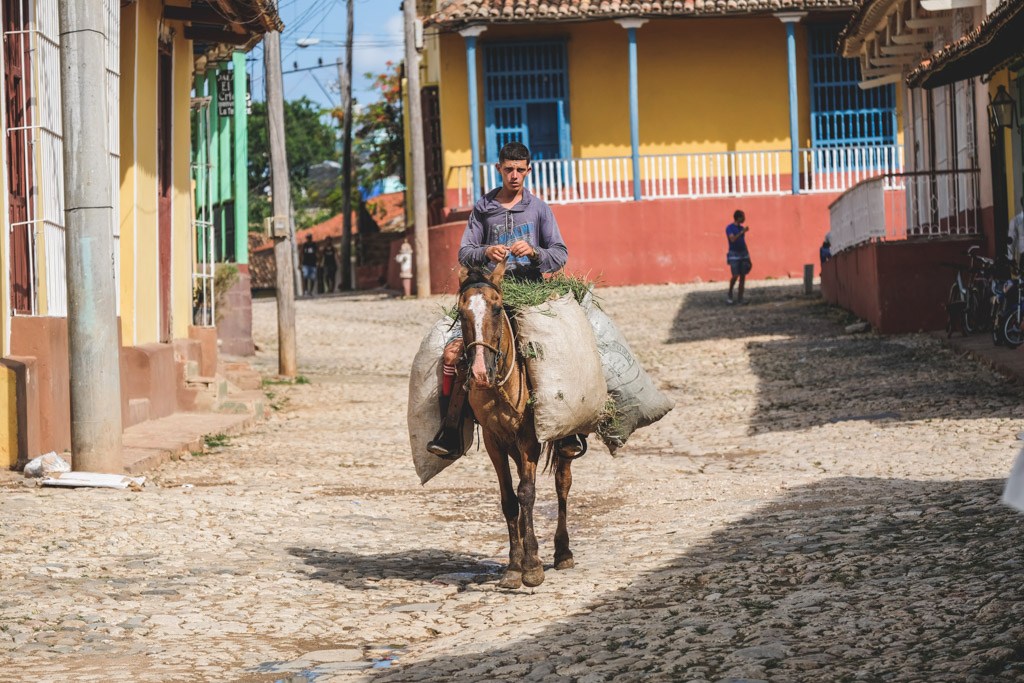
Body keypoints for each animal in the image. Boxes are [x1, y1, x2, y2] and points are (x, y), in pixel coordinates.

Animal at [456, 259, 577, 589]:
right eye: (461, 311)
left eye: (498, 308)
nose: (480, 374)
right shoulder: (493, 440)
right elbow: (509, 499)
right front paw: (514, 566)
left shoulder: (528, 438)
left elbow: (527, 493)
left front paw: (532, 566)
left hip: (563, 439)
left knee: (562, 483)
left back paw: (563, 552)